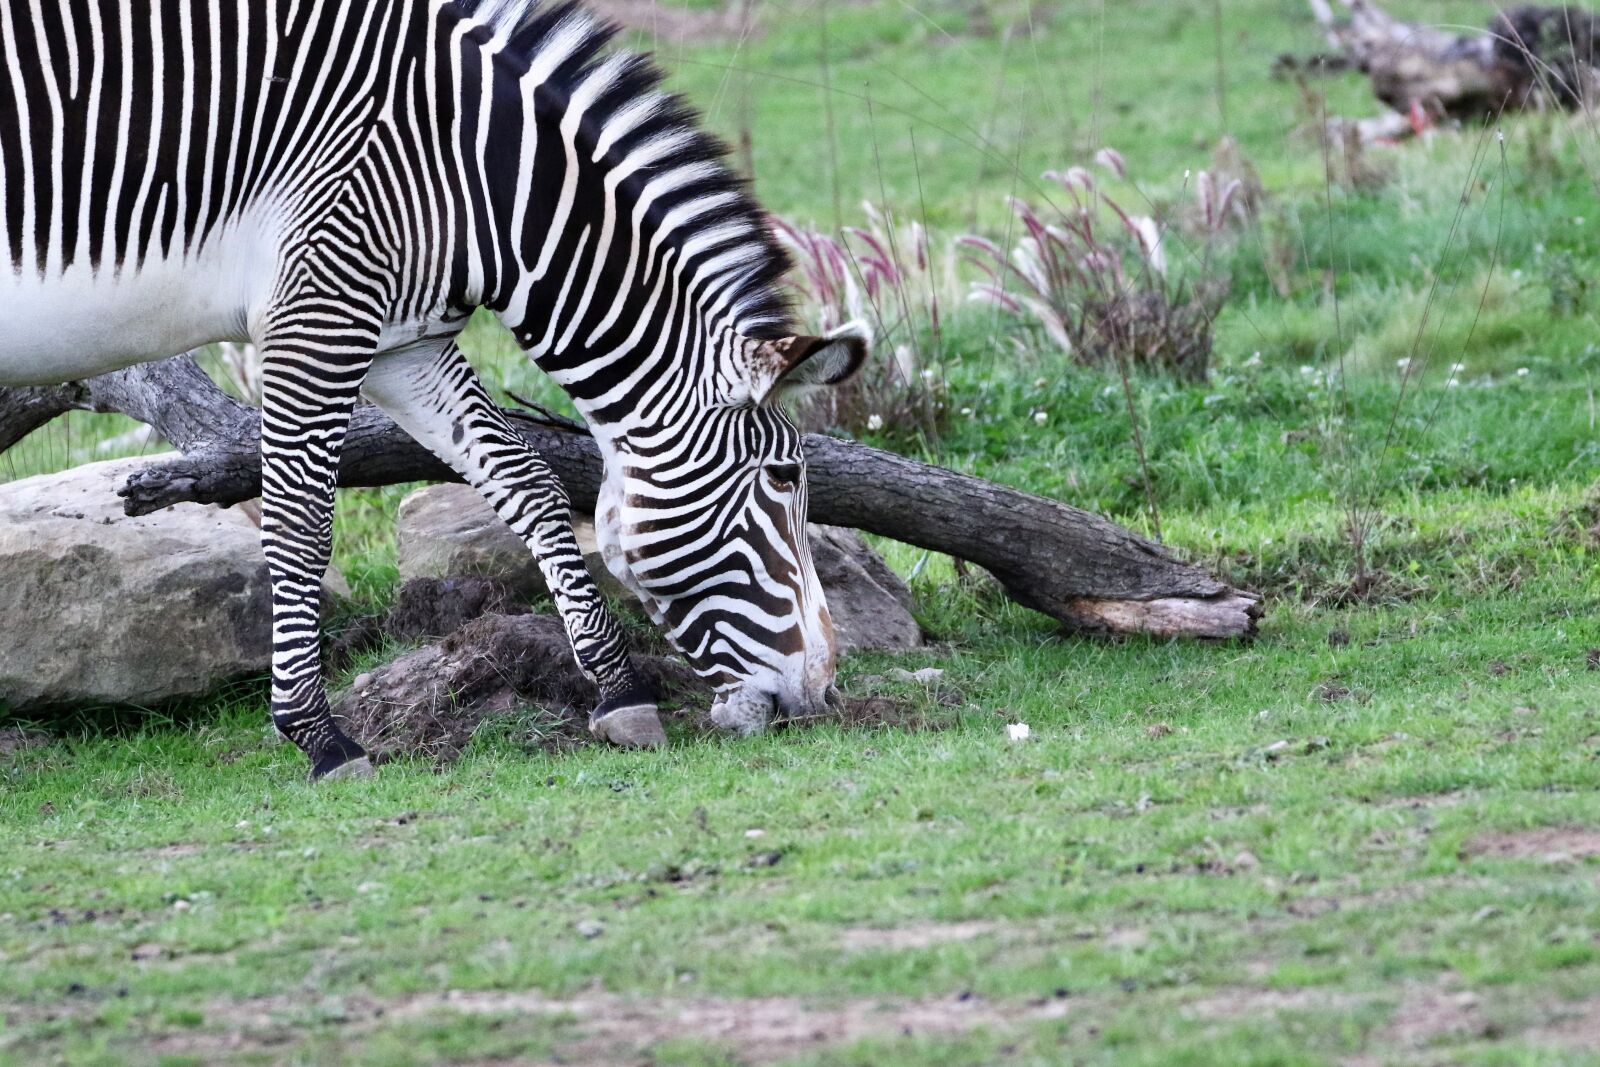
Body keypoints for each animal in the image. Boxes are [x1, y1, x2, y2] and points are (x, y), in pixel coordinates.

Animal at [0, 0, 869, 779]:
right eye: (784, 476)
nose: (823, 693)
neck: (477, 177)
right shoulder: (318, 306)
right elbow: (300, 524)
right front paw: (320, 736)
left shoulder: (401, 341)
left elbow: (530, 483)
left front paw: (620, 692)